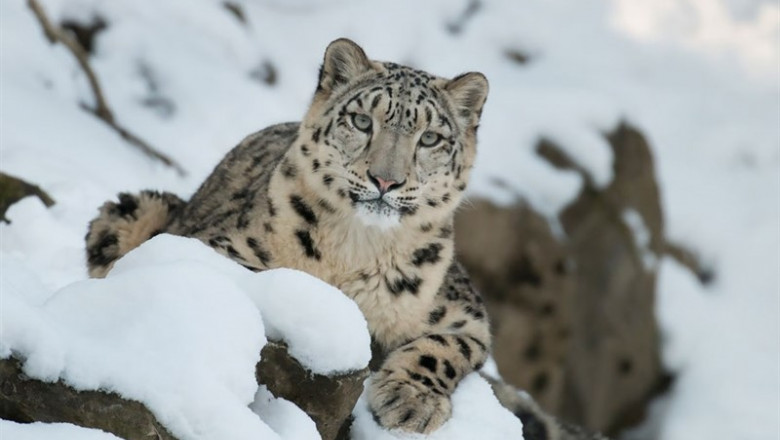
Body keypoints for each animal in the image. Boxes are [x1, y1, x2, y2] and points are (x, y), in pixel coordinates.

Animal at [85, 38, 606, 439]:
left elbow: (445, 348)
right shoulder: (216, 247)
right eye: (361, 121)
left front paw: (411, 401)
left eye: (430, 138)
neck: (359, 249)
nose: (386, 180)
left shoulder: (467, 315)